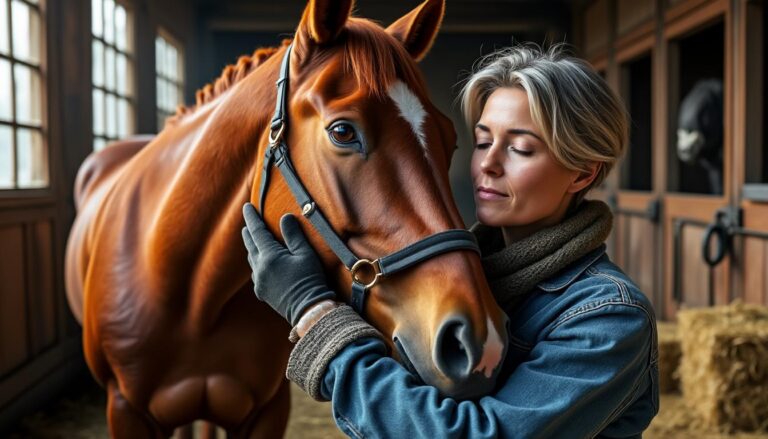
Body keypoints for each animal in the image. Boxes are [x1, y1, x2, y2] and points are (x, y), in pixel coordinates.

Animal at [64, 0, 509, 436]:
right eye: (343, 132)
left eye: (450, 139)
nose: (479, 341)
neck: (194, 297)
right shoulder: (126, 410)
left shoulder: (268, 409)